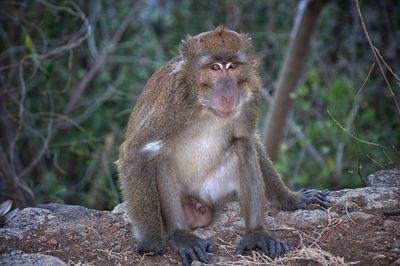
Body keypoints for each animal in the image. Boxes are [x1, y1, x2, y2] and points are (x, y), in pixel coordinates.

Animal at [118, 26, 328, 264]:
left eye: (233, 66)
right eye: (215, 68)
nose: (228, 93)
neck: (204, 105)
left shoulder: (251, 94)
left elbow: (249, 138)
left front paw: (289, 199)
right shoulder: (172, 103)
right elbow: (135, 152)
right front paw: (151, 242)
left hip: (214, 192)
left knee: (243, 147)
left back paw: (257, 233)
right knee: (160, 157)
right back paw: (182, 235)